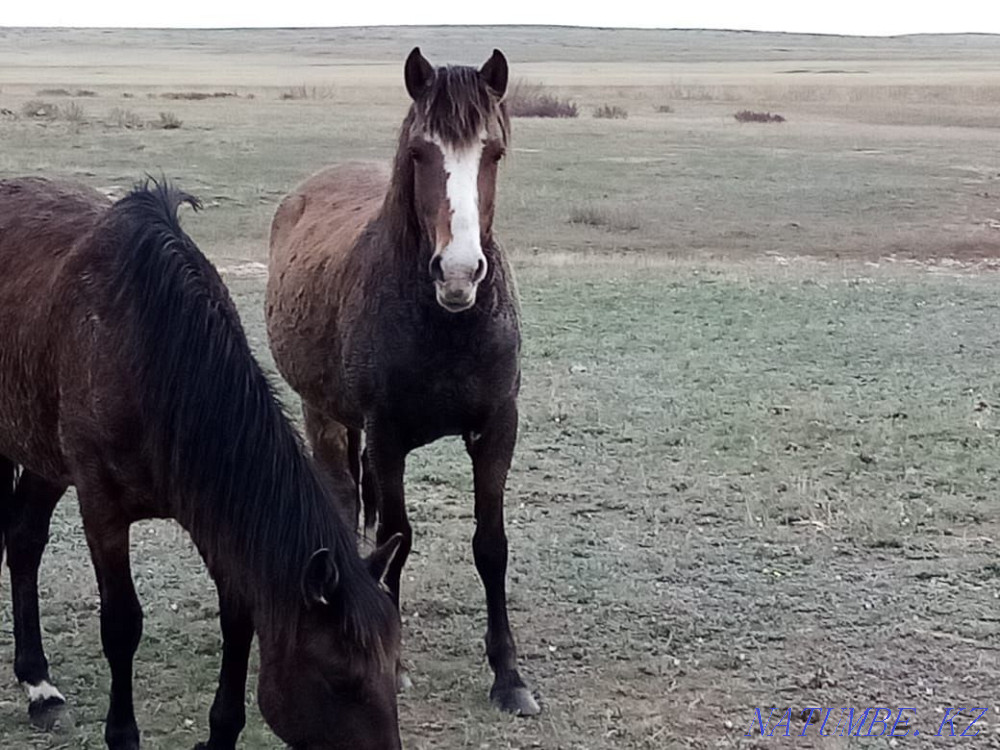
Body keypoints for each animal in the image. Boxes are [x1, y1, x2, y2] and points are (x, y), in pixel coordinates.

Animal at [0, 177, 404, 750]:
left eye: (392, 666)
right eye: (339, 679)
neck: (150, 357)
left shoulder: (213, 513)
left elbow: (238, 620)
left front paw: (220, 733)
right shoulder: (101, 505)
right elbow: (121, 623)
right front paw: (122, 734)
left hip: (43, 455)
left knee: (23, 538)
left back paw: (38, 684)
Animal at [265, 47, 539, 716]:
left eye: (494, 152)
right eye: (420, 153)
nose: (459, 271)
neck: (446, 327)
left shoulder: (498, 427)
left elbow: (490, 544)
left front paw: (509, 675)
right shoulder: (387, 437)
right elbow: (397, 536)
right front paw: (392, 661)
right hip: (323, 413)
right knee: (343, 501)